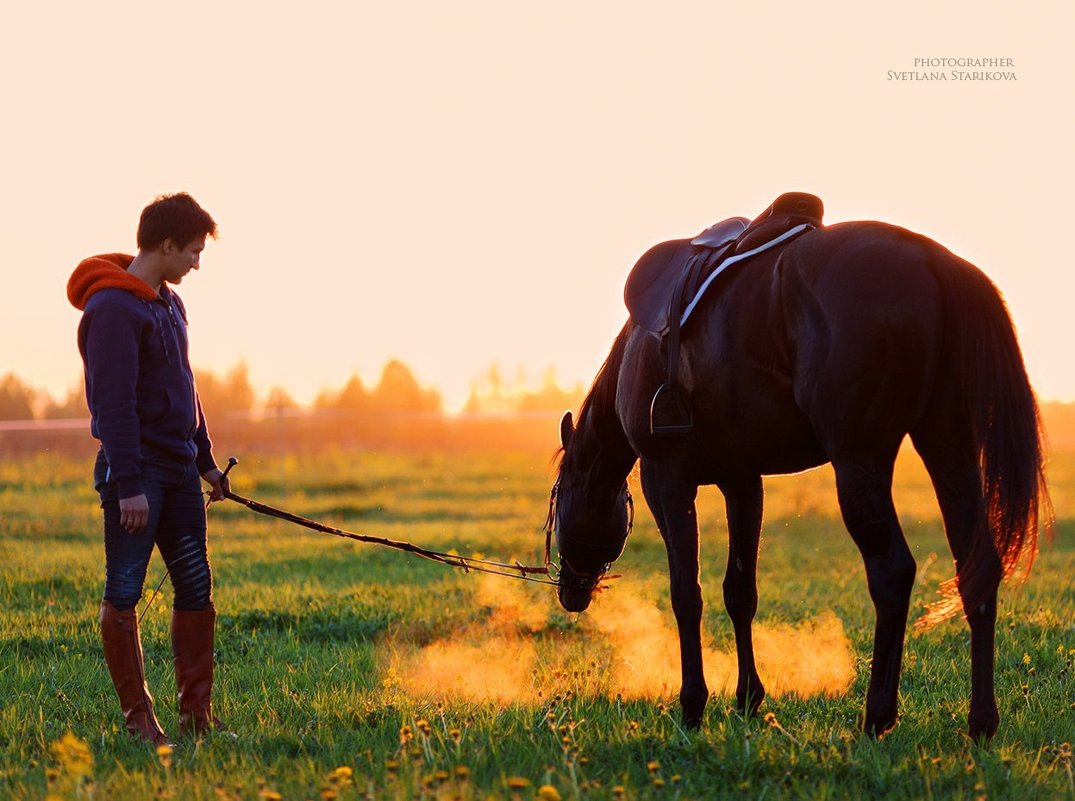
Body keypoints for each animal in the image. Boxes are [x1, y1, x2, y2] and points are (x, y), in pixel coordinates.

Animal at [550, 217, 1044, 735]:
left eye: (559, 496)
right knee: (978, 567)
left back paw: (878, 716)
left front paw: (693, 706)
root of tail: (933, 260)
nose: (571, 593)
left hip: (860, 463)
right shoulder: (742, 482)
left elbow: (687, 594)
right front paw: (748, 698)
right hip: (950, 450)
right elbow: (739, 592)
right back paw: (981, 721)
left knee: (892, 572)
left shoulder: (666, 479)